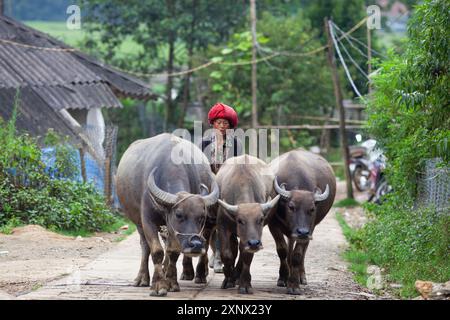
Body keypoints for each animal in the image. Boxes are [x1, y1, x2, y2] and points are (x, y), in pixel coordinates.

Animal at [115, 133, 219, 298]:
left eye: (201, 217)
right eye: (178, 214)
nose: (196, 244)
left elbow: (173, 253)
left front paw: (171, 282)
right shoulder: (148, 220)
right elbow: (156, 251)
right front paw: (158, 285)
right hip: (138, 223)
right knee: (145, 247)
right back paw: (142, 278)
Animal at [216, 156, 280, 294]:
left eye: (260, 219)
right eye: (240, 220)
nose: (254, 243)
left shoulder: (251, 238)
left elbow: (246, 256)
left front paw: (244, 284)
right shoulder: (222, 225)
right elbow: (226, 253)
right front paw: (228, 278)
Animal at [268, 149, 336, 294]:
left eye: (312, 209)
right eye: (291, 207)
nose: (302, 232)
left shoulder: (309, 228)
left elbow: (298, 255)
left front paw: (294, 284)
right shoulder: (273, 225)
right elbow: (282, 250)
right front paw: (283, 278)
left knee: (303, 251)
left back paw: (301, 277)